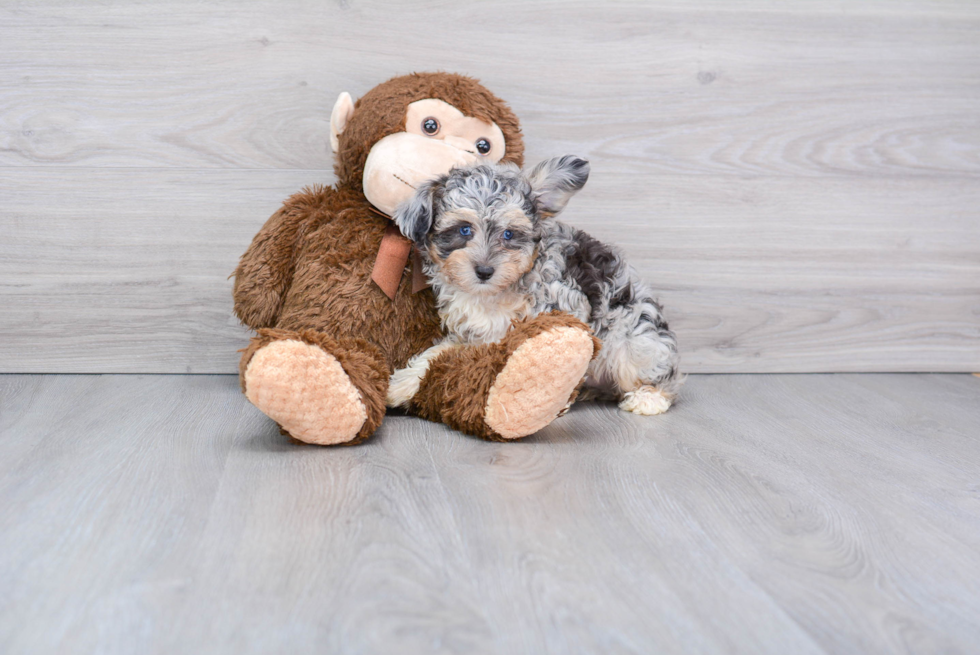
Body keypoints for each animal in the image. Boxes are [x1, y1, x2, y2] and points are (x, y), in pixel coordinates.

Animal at [384, 155, 680, 416]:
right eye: (464, 230)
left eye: (509, 234)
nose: (484, 271)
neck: (493, 295)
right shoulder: (471, 335)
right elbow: (437, 354)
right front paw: (402, 384)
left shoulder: (564, 308)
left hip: (635, 344)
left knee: (660, 376)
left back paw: (648, 397)